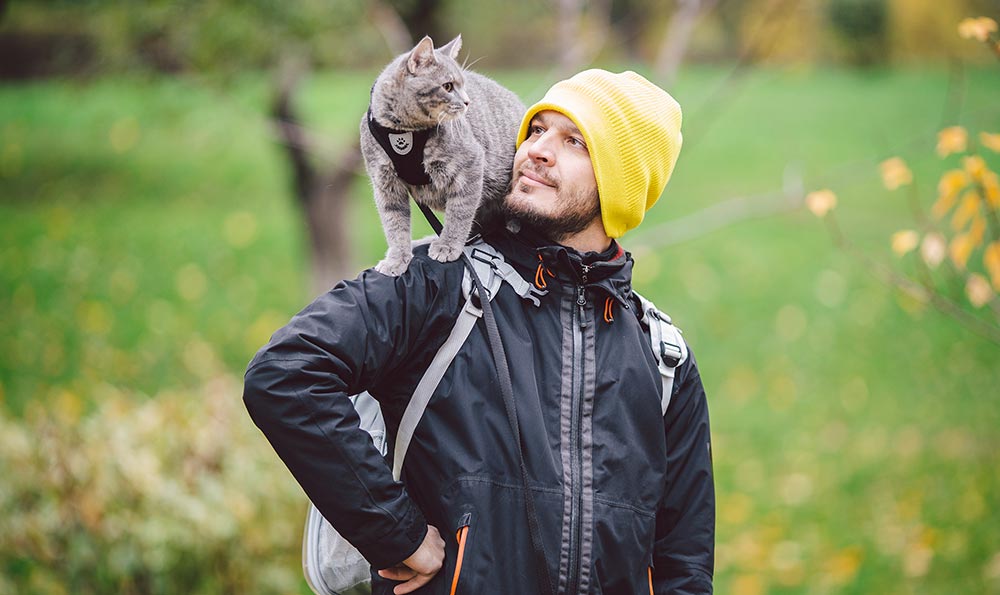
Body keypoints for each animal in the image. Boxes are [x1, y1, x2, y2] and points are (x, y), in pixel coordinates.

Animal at [362, 36, 532, 278]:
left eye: (462, 85)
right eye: (448, 86)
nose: (468, 102)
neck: (405, 133)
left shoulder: (470, 166)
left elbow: (459, 214)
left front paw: (448, 246)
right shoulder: (386, 184)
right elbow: (394, 225)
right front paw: (397, 258)